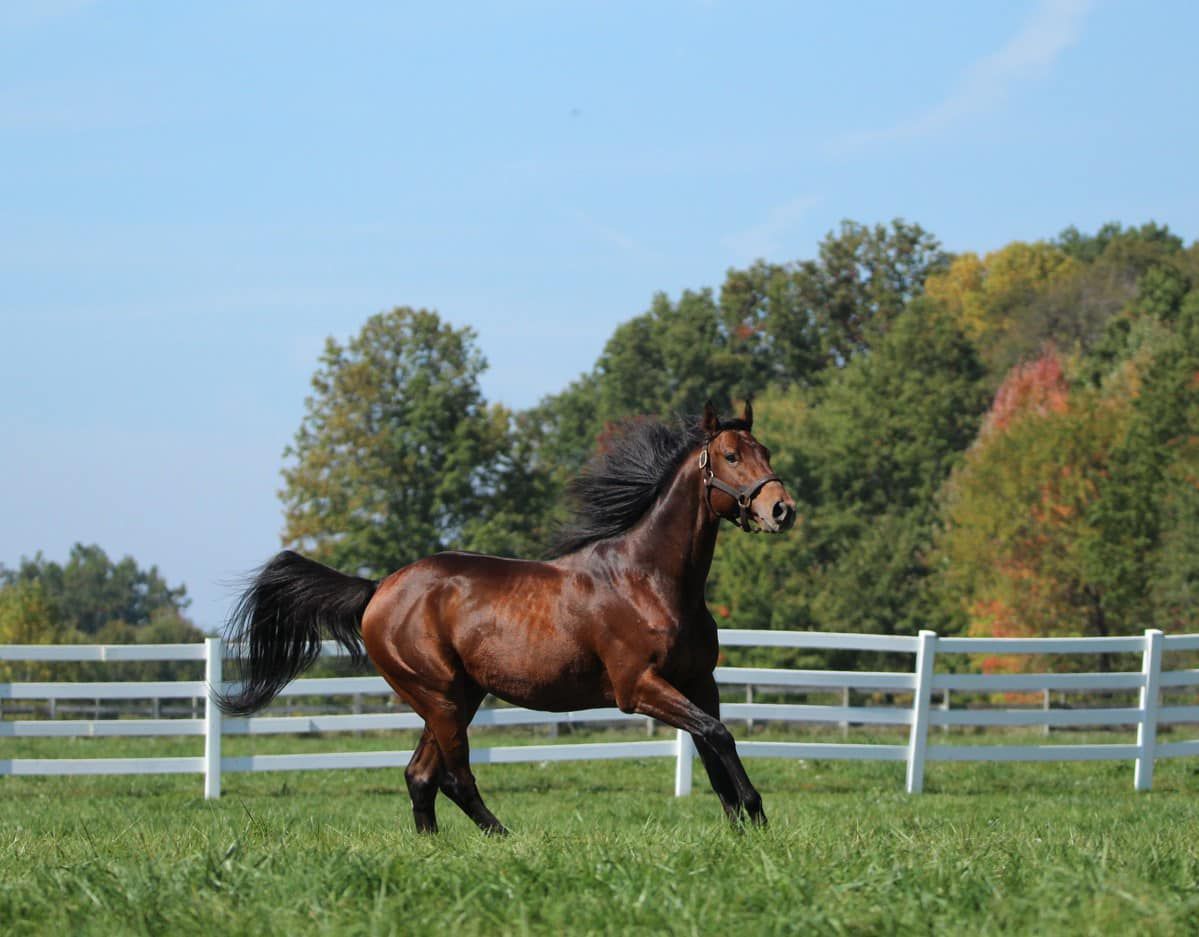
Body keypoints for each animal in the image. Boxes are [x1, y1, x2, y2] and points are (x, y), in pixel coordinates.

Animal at [218, 400, 796, 834]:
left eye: (764, 451)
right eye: (729, 455)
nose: (781, 509)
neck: (649, 580)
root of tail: (379, 588)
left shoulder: (699, 681)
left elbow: (713, 745)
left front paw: (742, 824)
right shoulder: (639, 688)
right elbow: (719, 736)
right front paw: (756, 813)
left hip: (457, 696)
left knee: (419, 775)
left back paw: (434, 846)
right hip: (440, 697)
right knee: (453, 778)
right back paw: (505, 836)